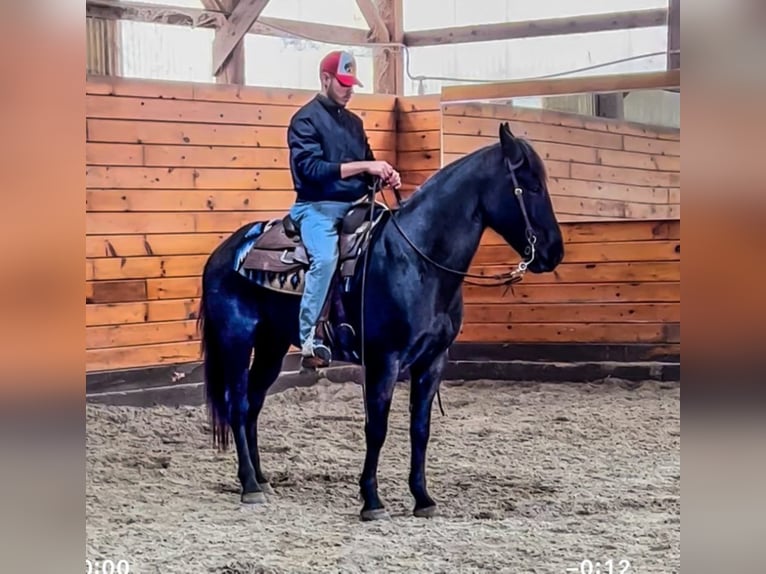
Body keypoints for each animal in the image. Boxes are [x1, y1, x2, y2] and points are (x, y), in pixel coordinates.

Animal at [200, 124, 564, 524]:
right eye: (531, 186)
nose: (554, 251)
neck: (418, 261)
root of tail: (223, 251)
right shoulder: (383, 361)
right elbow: (377, 428)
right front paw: (371, 500)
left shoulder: (433, 361)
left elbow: (420, 429)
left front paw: (422, 498)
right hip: (237, 339)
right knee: (237, 404)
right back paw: (249, 484)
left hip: (272, 346)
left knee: (253, 403)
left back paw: (262, 479)